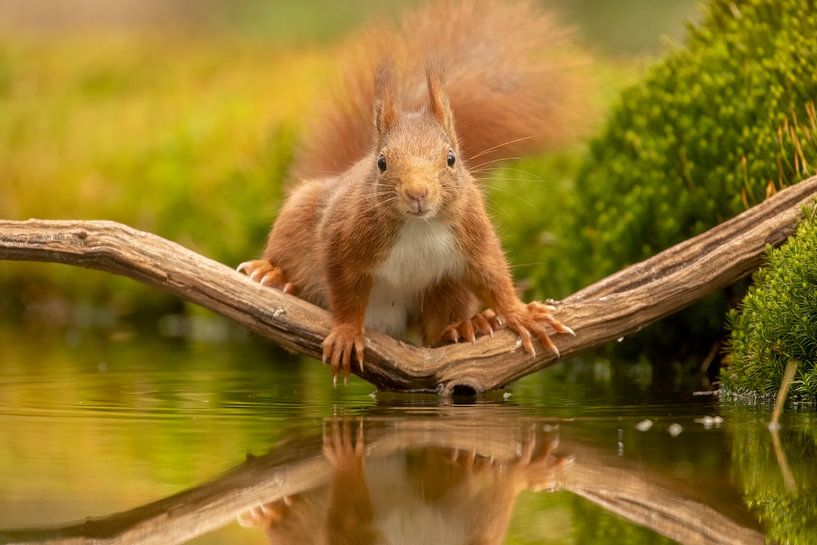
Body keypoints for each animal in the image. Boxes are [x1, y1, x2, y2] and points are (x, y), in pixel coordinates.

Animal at [239, 0, 585, 383]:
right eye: (382, 163)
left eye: (451, 158)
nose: (418, 193)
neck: (420, 226)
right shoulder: (343, 239)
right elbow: (344, 292)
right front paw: (346, 333)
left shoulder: (473, 234)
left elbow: (492, 276)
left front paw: (520, 314)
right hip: (298, 216)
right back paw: (273, 274)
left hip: (445, 290)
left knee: (435, 331)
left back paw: (466, 326)